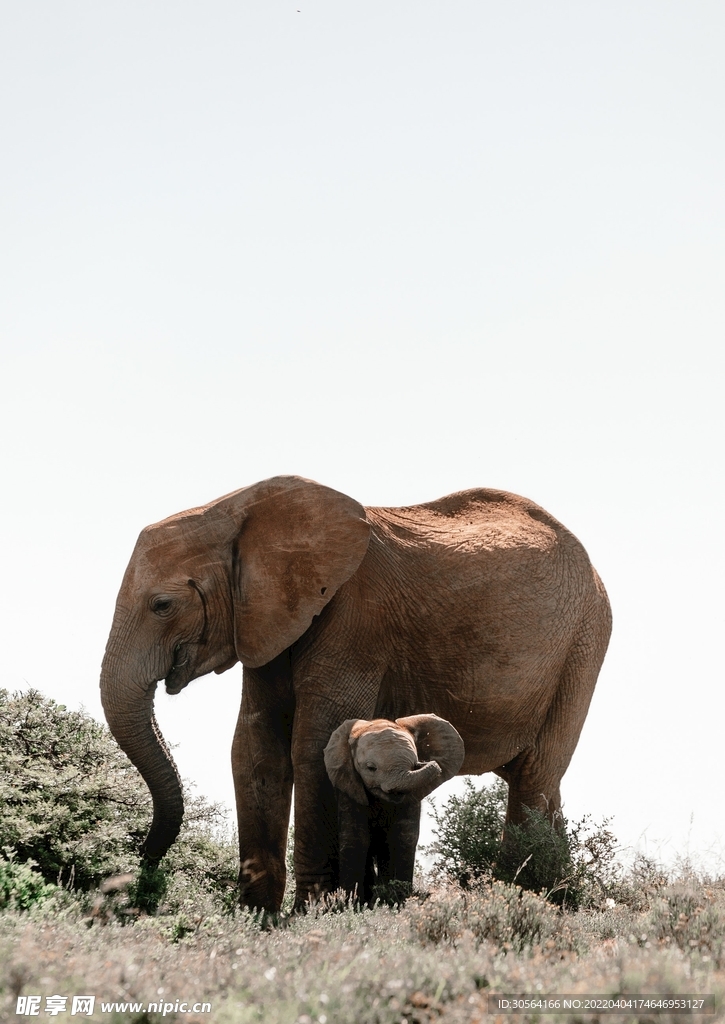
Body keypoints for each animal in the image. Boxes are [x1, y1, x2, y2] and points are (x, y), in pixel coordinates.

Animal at [323, 716, 464, 901]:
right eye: (371, 768)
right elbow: (355, 837)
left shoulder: (411, 797)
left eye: (414, 764)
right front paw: (349, 902)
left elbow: (404, 837)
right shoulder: (349, 787)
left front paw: (400, 899)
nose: (425, 762)